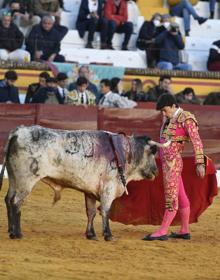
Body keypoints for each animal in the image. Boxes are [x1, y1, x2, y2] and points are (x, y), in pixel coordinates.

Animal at [0, 126, 170, 240]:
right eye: (152, 153)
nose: (156, 172)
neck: (124, 152)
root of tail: (18, 132)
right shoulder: (108, 188)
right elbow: (106, 211)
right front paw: (108, 235)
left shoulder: (90, 191)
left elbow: (91, 212)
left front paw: (91, 234)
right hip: (26, 180)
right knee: (16, 202)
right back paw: (18, 233)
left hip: (15, 179)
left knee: (8, 199)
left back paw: (11, 231)